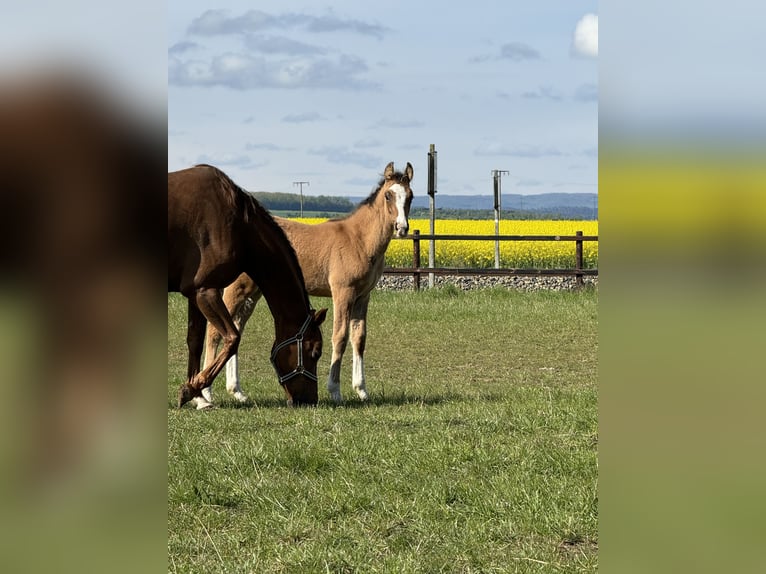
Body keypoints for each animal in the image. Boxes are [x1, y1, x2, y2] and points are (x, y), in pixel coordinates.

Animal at [170, 165, 328, 410]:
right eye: (315, 351)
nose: (309, 400)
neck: (238, 225)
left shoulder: (194, 293)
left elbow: (194, 341)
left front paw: (198, 395)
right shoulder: (207, 291)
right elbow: (232, 338)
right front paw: (193, 388)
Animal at [201, 160, 412, 408]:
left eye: (409, 196)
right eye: (388, 195)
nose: (402, 228)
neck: (359, 240)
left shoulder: (363, 295)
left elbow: (359, 338)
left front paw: (362, 391)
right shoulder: (343, 292)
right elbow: (340, 337)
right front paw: (335, 391)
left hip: (254, 291)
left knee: (236, 327)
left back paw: (237, 391)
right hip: (237, 289)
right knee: (215, 330)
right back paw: (206, 394)